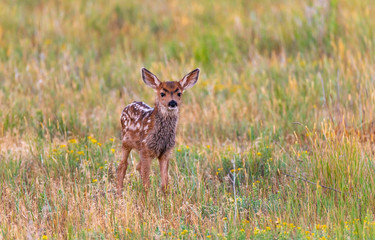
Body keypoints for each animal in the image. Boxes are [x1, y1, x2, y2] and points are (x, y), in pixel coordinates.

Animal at [117, 67, 200, 195]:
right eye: (162, 93)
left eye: (179, 93)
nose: (172, 103)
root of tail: (129, 104)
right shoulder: (146, 149)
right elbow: (146, 184)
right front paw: (146, 199)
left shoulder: (166, 152)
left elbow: (165, 184)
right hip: (125, 142)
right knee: (122, 165)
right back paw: (118, 194)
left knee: (137, 166)